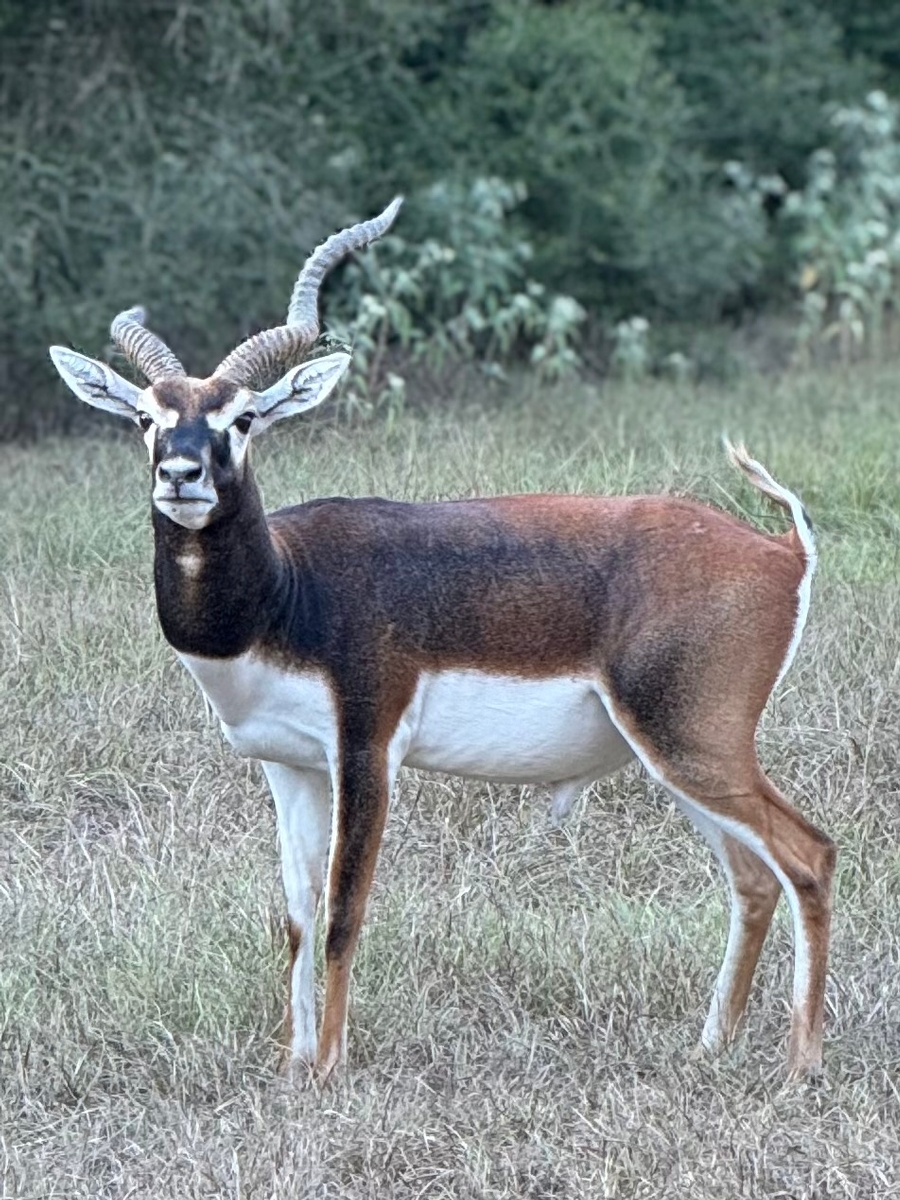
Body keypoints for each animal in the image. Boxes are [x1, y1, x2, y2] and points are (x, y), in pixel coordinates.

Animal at [49, 198, 835, 1082]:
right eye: (145, 417)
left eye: (243, 417)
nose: (180, 475)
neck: (289, 590)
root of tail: (783, 550)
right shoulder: (288, 766)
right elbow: (294, 916)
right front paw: (291, 1065)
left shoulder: (366, 750)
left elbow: (343, 910)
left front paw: (329, 1069)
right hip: (677, 759)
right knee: (754, 879)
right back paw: (710, 1047)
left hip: (694, 745)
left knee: (810, 857)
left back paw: (801, 1065)